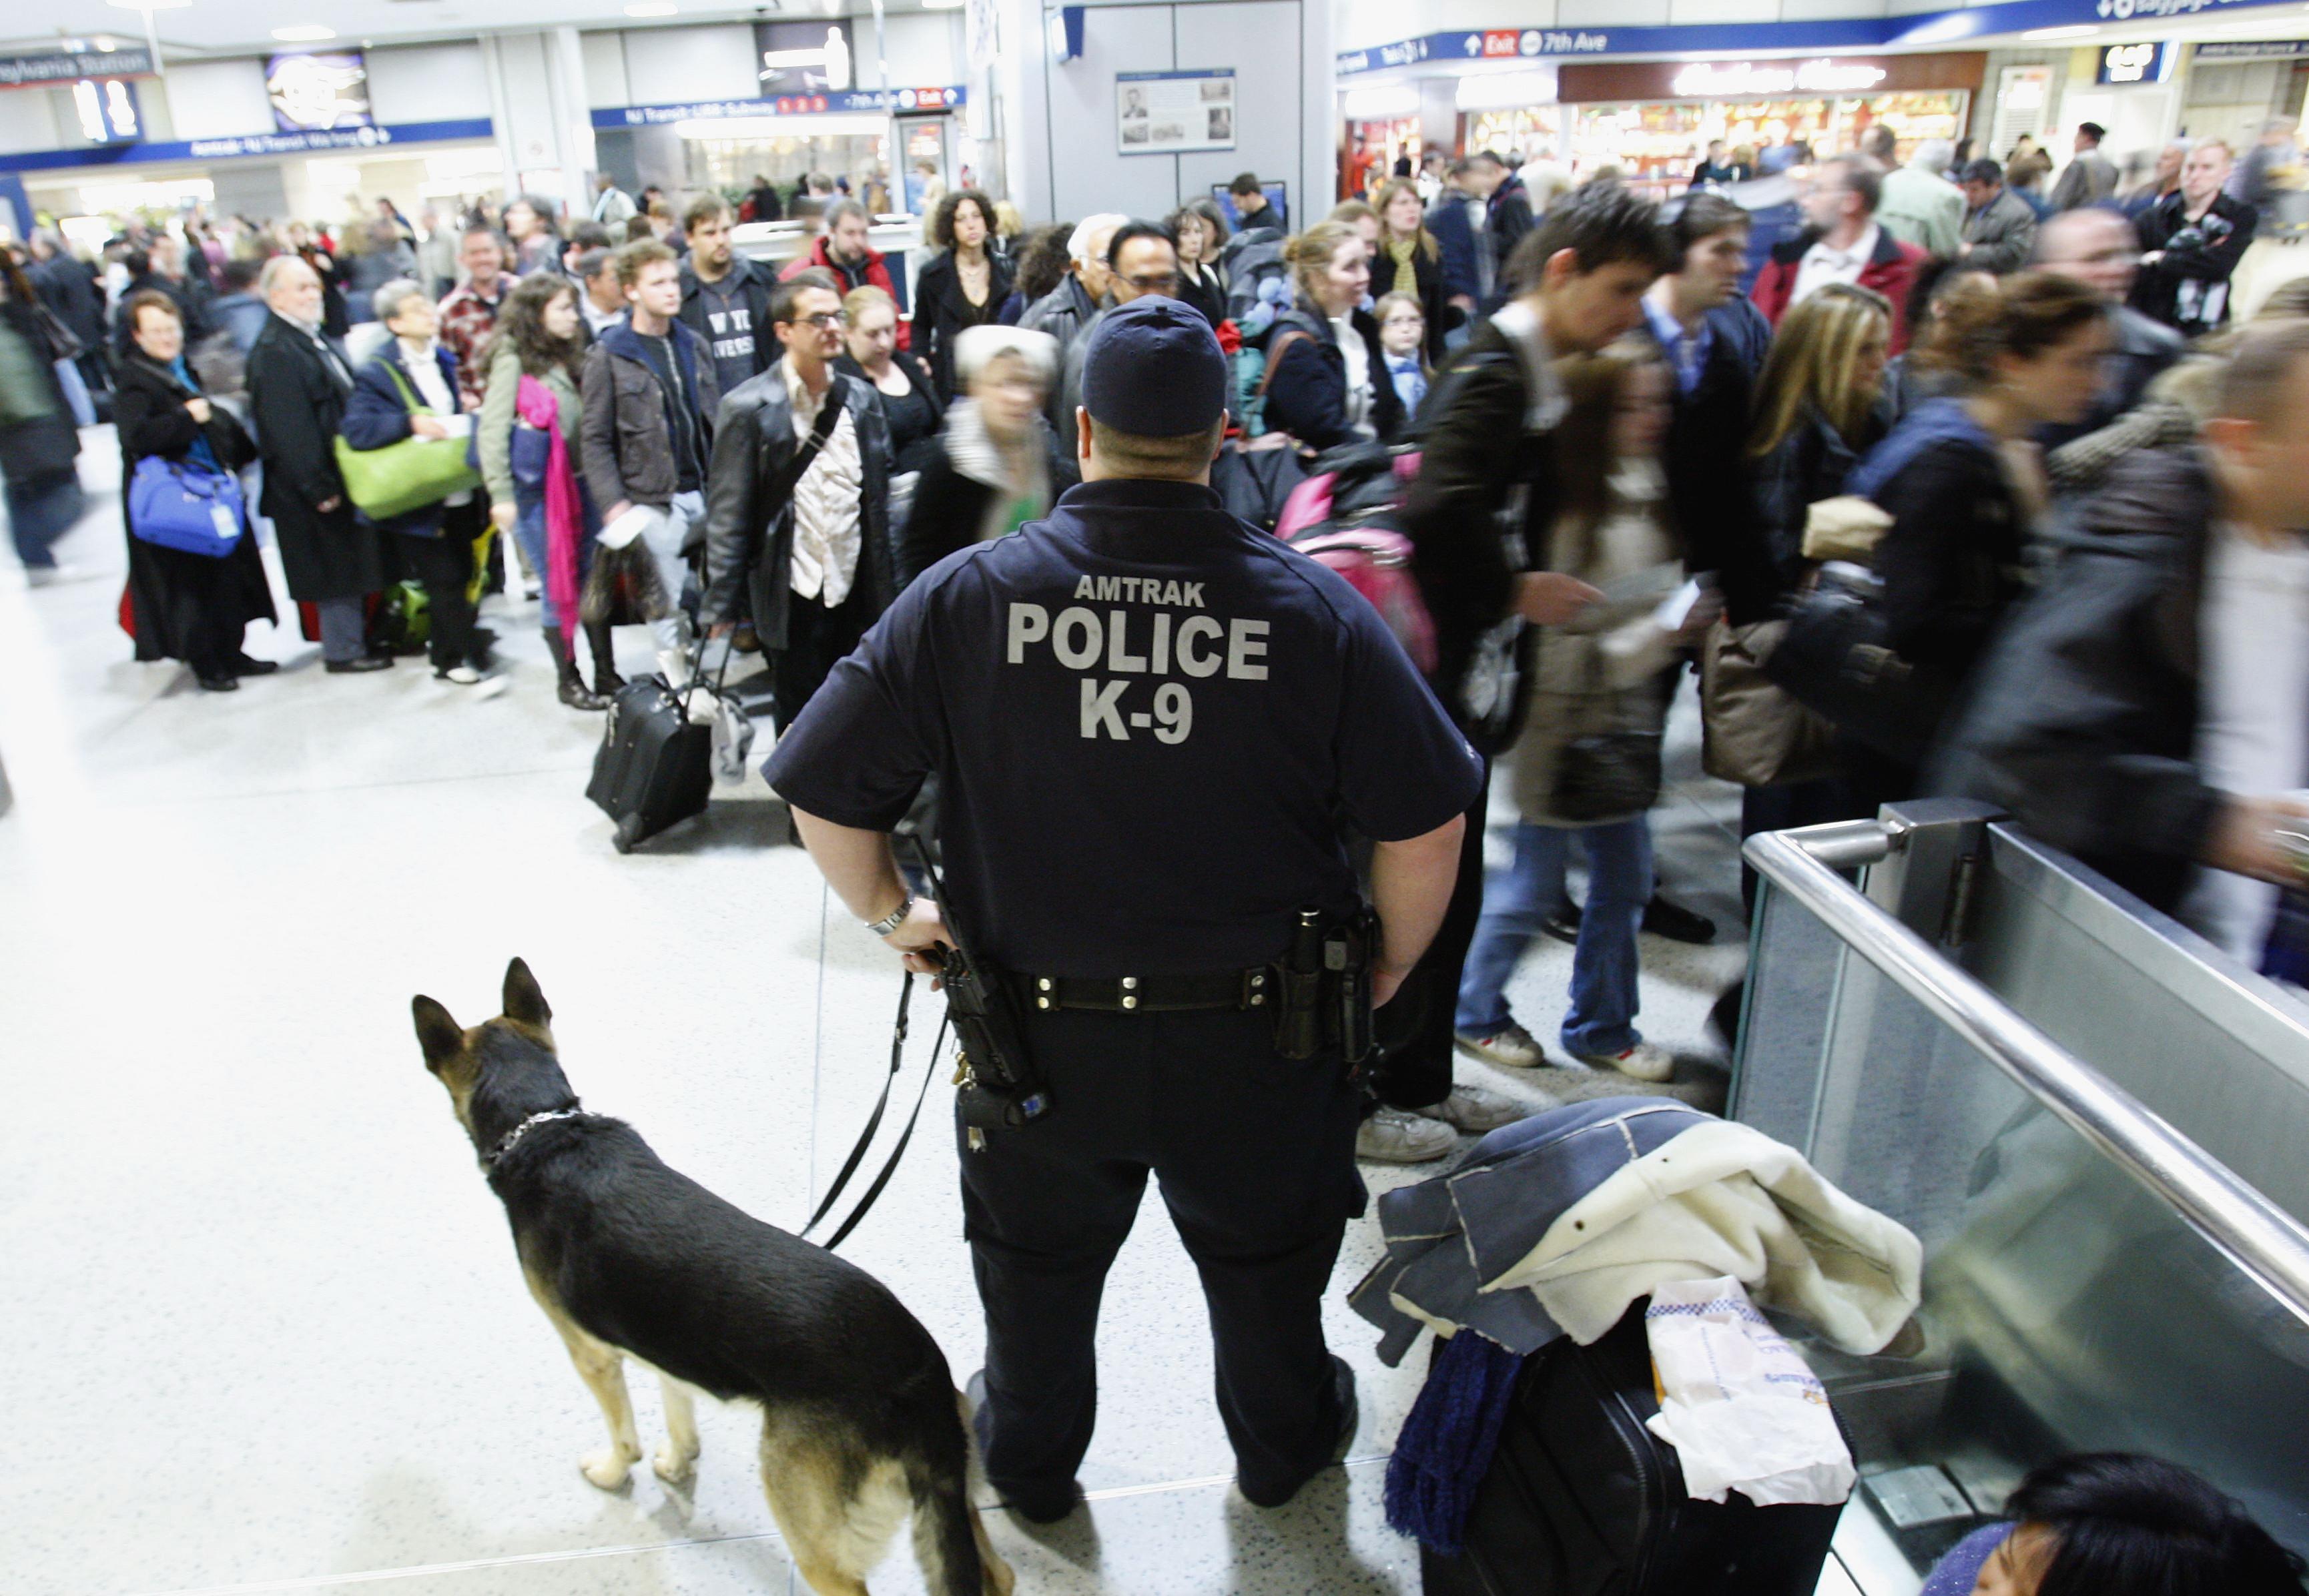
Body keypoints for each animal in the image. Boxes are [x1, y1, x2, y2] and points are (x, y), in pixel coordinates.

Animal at [413, 961, 1020, 1596]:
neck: (543, 1127)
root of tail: (914, 1379)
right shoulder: (664, 1346)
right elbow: (678, 1408)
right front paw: (679, 1461)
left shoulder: (591, 1355)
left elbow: (623, 1434)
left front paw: (612, 1471)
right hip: (951, 1503)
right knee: (997, 1573)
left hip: (818, 1542)